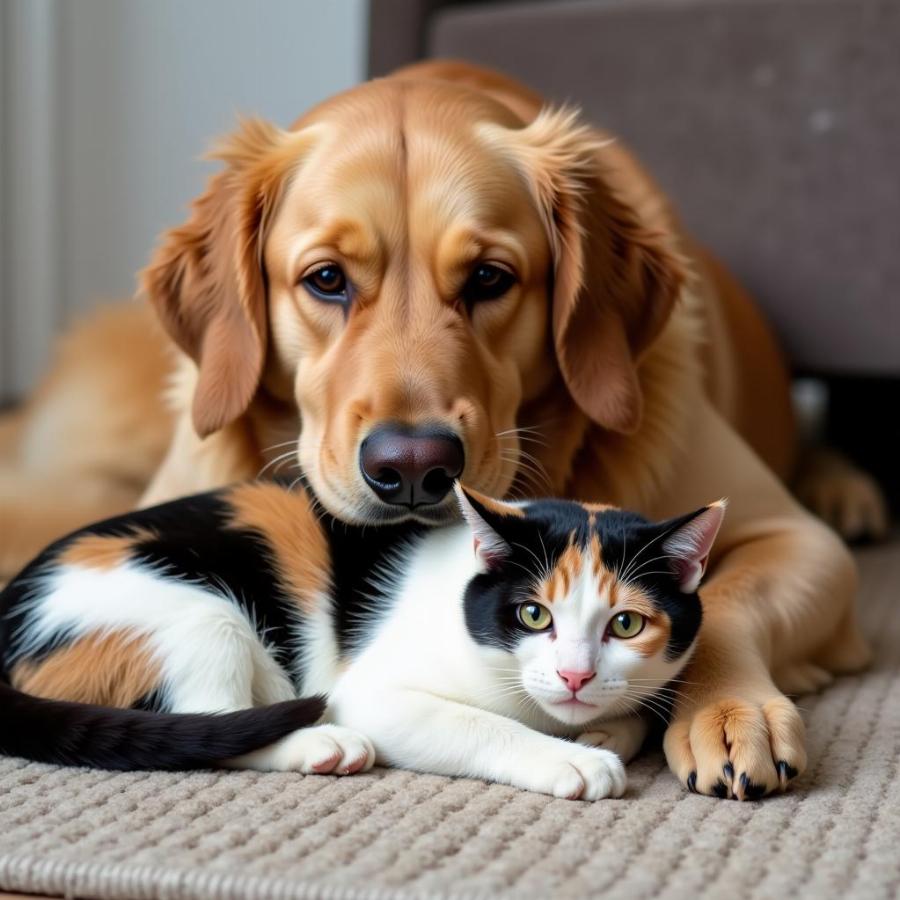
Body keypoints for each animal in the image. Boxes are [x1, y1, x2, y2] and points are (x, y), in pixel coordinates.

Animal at [0, 482, 724, 800]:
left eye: (625, 624)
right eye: (531, 615)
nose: (575, 675)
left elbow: (634, 712)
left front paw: (603, 732)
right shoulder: (371, 692)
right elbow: (482, 725)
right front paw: (570, 759)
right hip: (200, 614)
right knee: (210, 724)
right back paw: (320, 744)